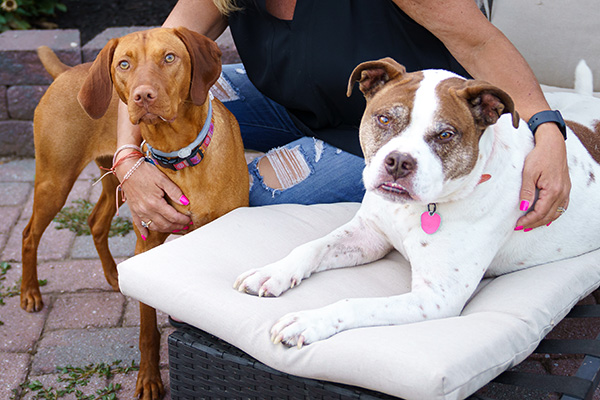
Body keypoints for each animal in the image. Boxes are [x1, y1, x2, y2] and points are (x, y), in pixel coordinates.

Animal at [21, 27, 250, 396]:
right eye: (124, 64)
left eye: (169, 57)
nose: (143, 96)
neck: (180, 156)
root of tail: (67, 72)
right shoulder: (147, 243)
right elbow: (147, 330)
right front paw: (149, 379)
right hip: (55, 182)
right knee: (30, 234)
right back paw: (30, 293)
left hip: (115, 178)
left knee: (95, 221)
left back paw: (114, 275)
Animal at [233, 57, 600, 348]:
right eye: (384, 119)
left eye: (445, 135)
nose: (398, 162)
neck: (422, 206)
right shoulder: (369, 236)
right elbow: (311, 246)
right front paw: (273, 273)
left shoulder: (436, 298)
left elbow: (354, 303)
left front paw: (308, 321)